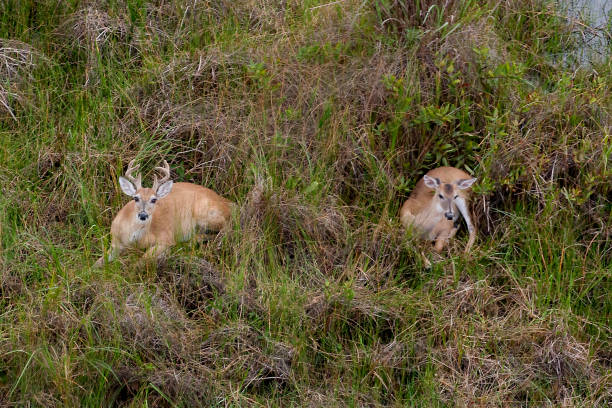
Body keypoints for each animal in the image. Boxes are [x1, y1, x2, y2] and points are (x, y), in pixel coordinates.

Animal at [95, 159, 234, 268]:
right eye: (136, 198)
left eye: (154, 199)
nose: (143, 215)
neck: (133, 238)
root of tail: (227, 203)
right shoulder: (114, 243)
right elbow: (97, 263)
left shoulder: (165, 239)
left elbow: (140, 261)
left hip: (205, 214)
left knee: (226, 229)